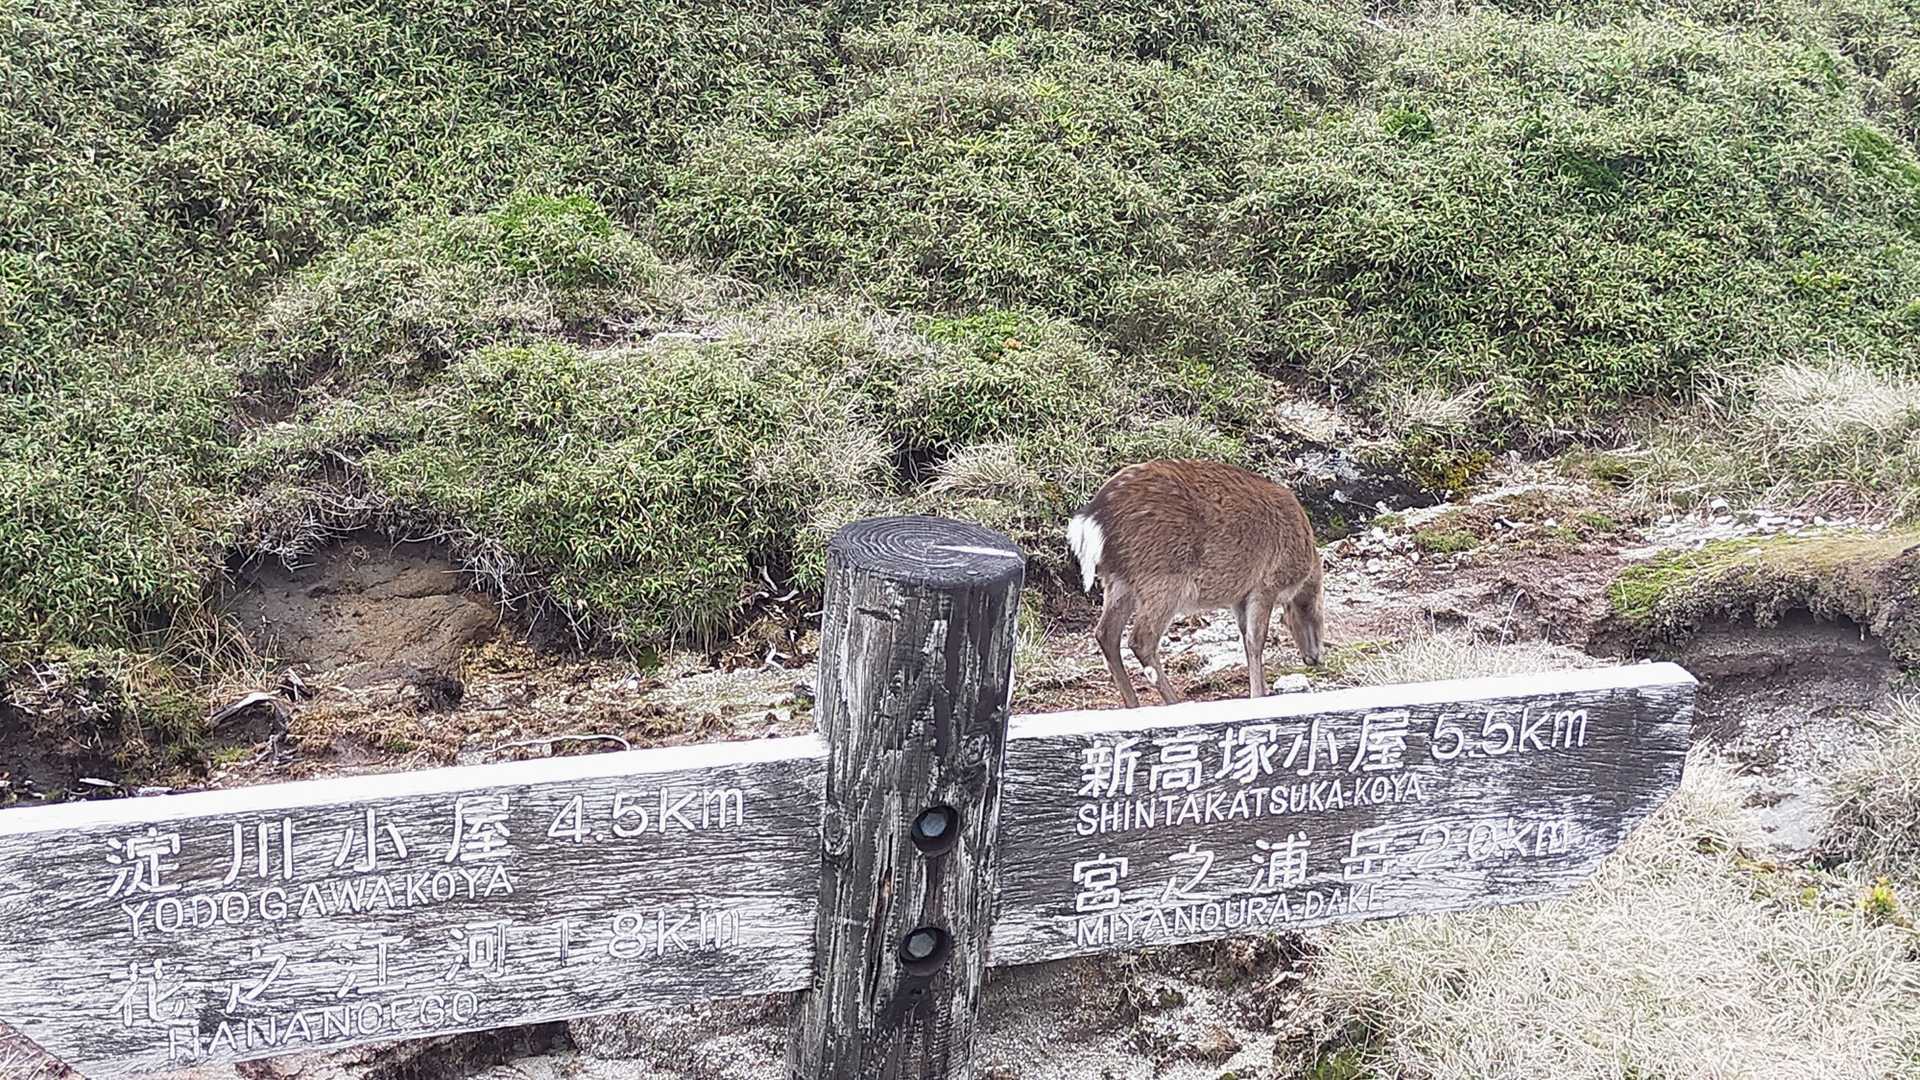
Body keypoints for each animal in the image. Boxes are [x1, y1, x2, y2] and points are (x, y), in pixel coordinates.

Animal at [1066, 459, 1326, 709]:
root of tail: (1092, 520)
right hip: (1163, 580)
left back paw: (1133, 704)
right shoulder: (1266, 584)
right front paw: (1258, 694)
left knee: (1106, 633)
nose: (1314, 657)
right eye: (1316, 611)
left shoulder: (1239, 596)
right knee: (1141, 639)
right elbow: (1256, 640)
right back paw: (1174, 701)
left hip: (1119, 582)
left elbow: (1245, 638)